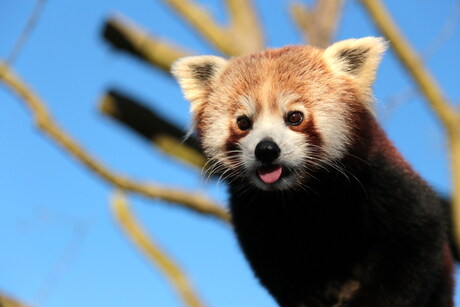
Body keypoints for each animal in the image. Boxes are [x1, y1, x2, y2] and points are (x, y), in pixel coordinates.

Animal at [172, 38, 452, 307]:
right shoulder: (254, 210)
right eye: (243, 122)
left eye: (295, 117)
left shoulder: (380, 179)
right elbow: (273, 262)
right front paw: (310, 296)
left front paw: (370, 301)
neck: (302, 195)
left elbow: (413, 241)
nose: (266, 150)